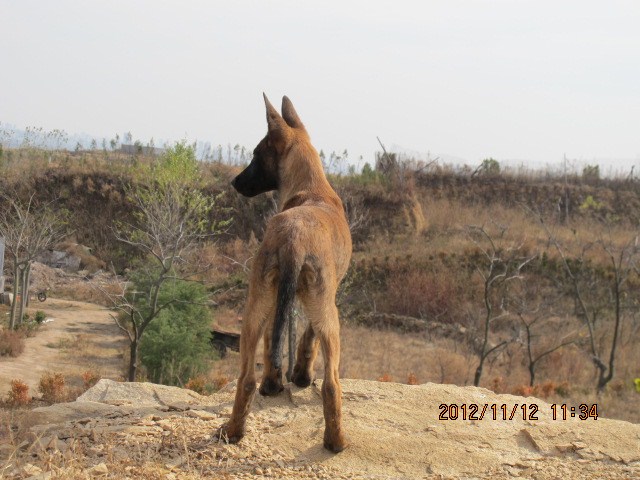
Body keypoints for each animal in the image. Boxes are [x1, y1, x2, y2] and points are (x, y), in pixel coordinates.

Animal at [219, 94, 350, 454]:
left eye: (254, 155)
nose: (235, 181)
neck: (312, 187)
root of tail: (294, 240)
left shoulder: (294, 300)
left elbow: (281, 341)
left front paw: (279, 381)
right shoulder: (326, 298)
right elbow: (305, 336)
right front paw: (300, 375)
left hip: (256, 304)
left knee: (247, 377)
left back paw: (234, 431)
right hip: (315, 309)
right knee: (332, 382)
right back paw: (335, 441)